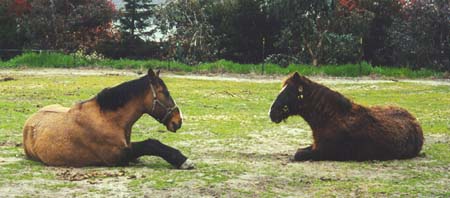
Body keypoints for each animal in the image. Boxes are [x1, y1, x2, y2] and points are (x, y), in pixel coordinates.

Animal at [22, 69, 194, 169]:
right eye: (165, 92)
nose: (178, 120)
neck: (108, 119)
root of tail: (29, 122)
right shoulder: (117, 156)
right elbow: (151, 144)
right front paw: (182, 160)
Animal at [268, 72, 424, 162]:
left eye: (289, 92)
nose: (272, 112)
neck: (332, 117)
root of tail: (415, 121)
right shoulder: (315, 145)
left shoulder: (324, 152)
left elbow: (298, 154)